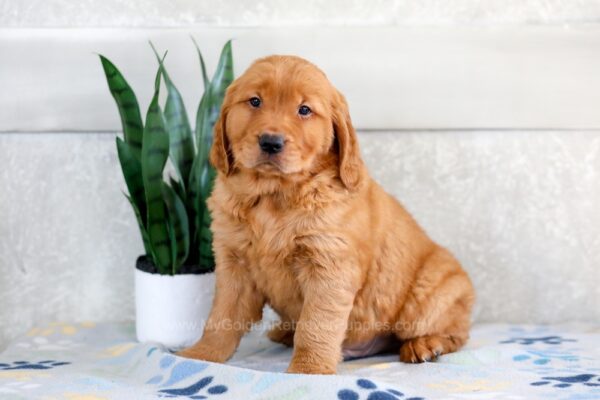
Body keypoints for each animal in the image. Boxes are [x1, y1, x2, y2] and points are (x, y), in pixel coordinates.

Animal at [176, 54, 476, 374]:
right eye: (255, 101)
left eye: (304, 110)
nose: (270, 142)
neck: (274, 195)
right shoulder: (234, 262)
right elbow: (222, 315)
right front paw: (201, 354)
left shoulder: (328, 265)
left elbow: (316, 325)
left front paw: (308, 369)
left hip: (432, 293)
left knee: (455, 333)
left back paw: (425, 345)